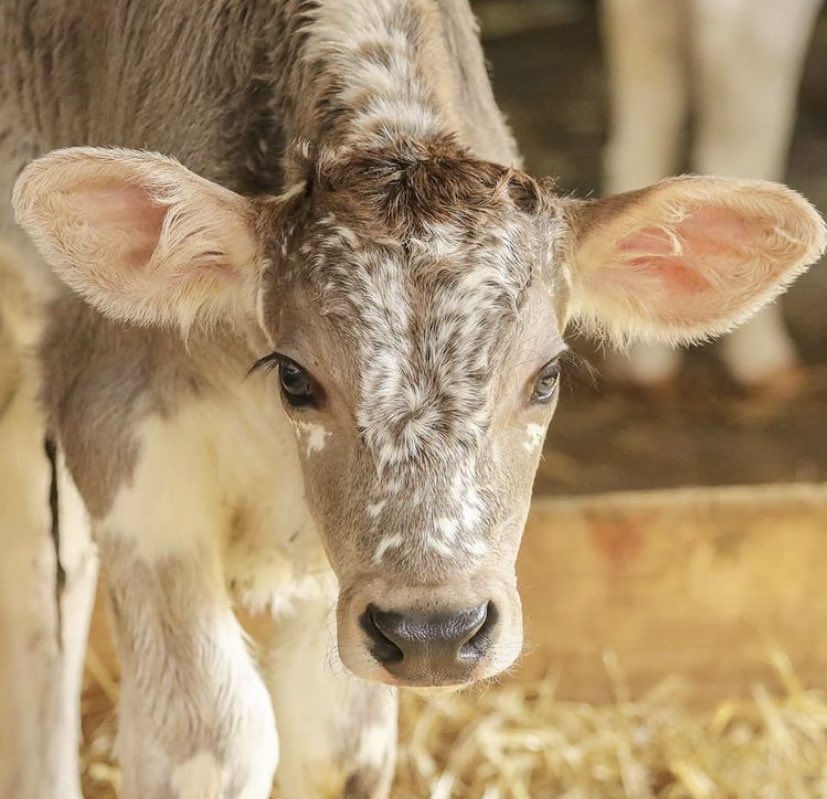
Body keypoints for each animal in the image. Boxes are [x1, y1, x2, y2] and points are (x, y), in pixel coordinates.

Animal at [1, 1, 824, 797]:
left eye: (547, 377)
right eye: (295, 377)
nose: (435, 632)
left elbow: (338, 750)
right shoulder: (123, 432)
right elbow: (207, 739)